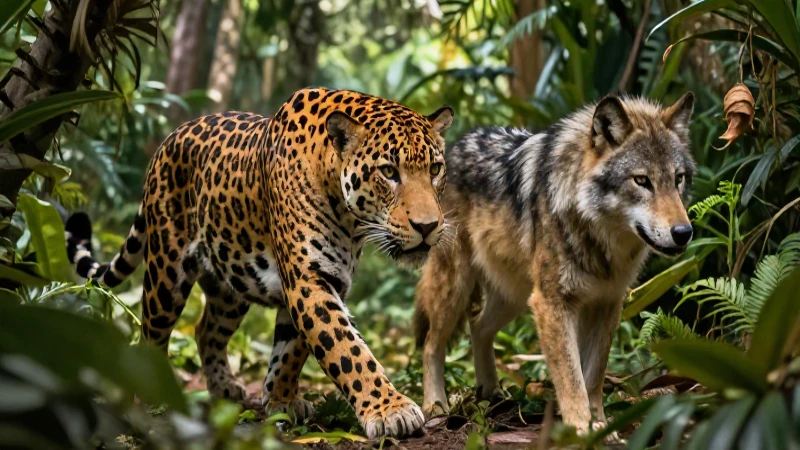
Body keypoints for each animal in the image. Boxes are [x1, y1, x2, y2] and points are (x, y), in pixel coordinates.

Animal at [64, 87, 454, 439]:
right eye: (389, 172)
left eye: (435, 169)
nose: (427, 226)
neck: (349, 219)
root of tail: (170, 138)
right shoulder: (308, 279)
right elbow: (346, 348)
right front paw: (391, 409)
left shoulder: (322, 280)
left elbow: (293, 348)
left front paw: (280, 400)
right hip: (165, 274)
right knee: (151, 335)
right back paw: (149, 398)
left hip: (232, 280)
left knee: (206, 329)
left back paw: (226, 388)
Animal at [413, 93, 696, 434]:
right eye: (642, 181)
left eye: (678, 179)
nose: (683, 233)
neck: (599, 238)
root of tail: (449, 150)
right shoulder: (553, 304)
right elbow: (571, 378)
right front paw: (581, 427)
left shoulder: (606, 303)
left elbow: (593, 375)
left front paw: (601, 425)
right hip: (457, 289)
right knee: (432, 344)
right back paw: (435, 405)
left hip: (514, 297)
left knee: (478, 328)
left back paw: (491, 393)